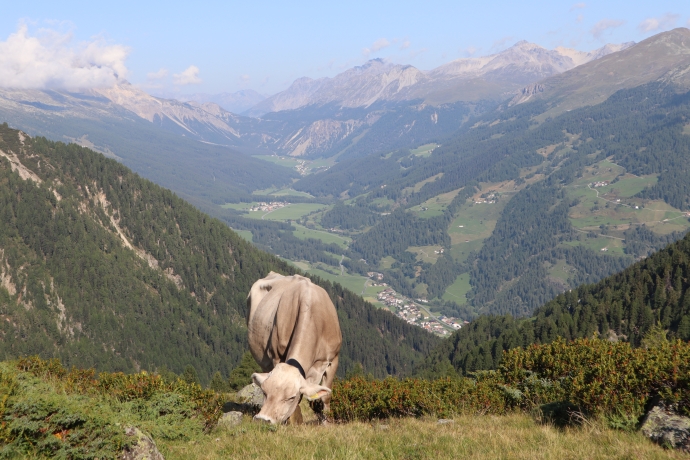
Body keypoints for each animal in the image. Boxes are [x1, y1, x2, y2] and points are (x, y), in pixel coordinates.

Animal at [246, 272, 342, 424]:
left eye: (291, 397)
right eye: (265, 392)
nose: (263, 419)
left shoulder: (334, 359)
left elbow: (325, 396)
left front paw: (326, 423)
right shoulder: (277, 356)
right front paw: (293, 422)